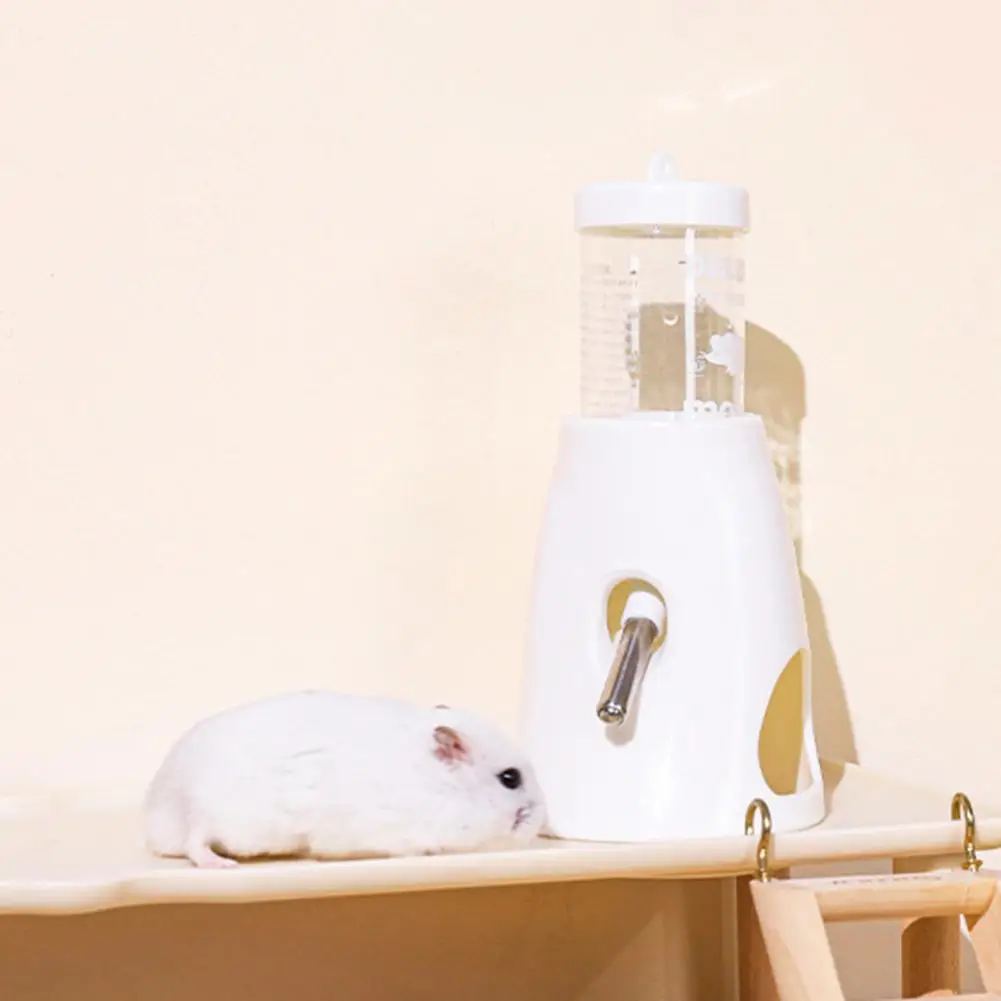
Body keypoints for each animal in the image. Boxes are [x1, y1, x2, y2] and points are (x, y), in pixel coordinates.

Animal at [143, 690, 547, 868]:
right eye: (510, 778)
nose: (540, 820)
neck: (443, 788)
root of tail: (165, 803)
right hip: (222, 819)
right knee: (197, 843)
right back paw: (223, 865)